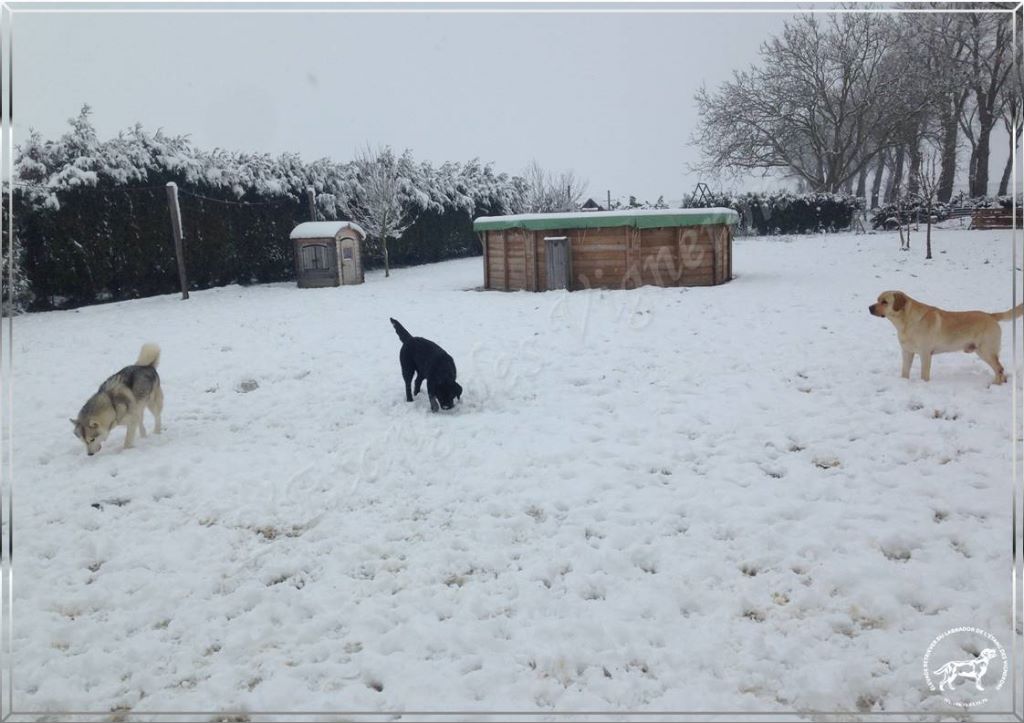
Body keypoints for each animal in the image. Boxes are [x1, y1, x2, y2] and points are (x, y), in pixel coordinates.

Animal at [872, 290, 1024, 385]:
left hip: (986, 351)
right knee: (1000, 370)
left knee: (999, 369)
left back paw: (995, 385)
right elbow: (905, 371)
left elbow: (924, 375)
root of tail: (991, 315)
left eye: (884, 302)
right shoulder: (907, 352)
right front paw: (904, 382)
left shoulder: (925, 354)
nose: (869, 308)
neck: (906, 321)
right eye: (877, 300)